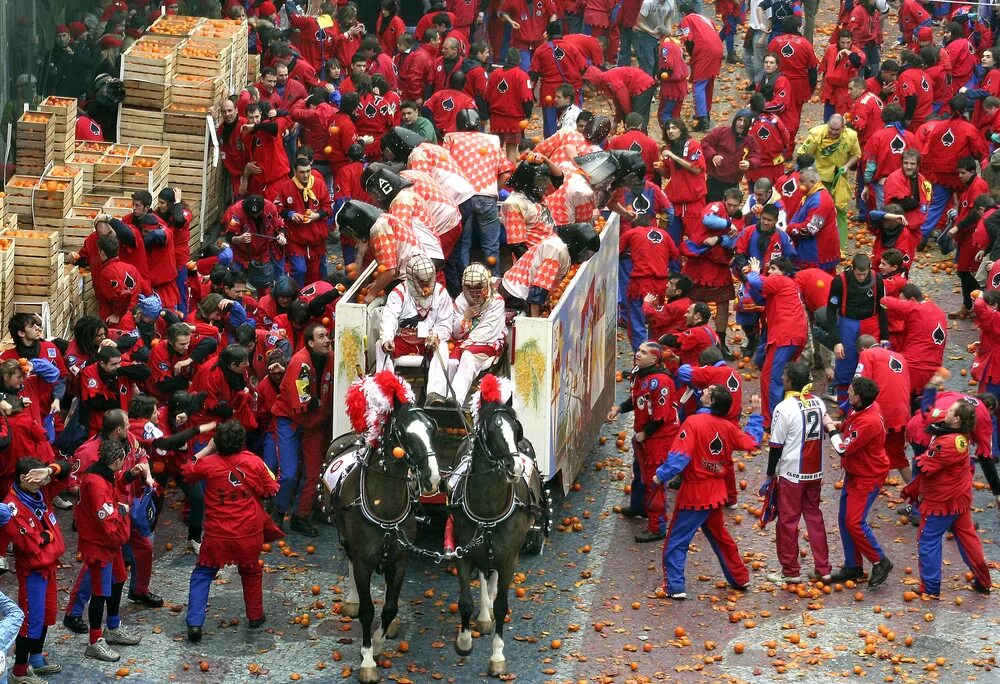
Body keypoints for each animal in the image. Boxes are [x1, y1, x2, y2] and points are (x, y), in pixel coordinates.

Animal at [320, 374, 442, 684]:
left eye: (431, 428)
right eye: (403, 432)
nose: (433, 478)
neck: (384, 501)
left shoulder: (400, 559)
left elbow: (389, 607)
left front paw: (378, 641)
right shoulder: (364, 559)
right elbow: (367, 609)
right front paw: (367, 660)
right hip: (344, 534)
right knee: (349, 559)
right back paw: (351, 600)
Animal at [450, 376, 552, 676]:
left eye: (515, 428)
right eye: (489, 430)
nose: (513, 467)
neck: (488, 508)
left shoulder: (509, 559)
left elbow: (501, 607)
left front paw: (497, 657)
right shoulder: (463, 552)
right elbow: (465, 602)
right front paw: (464, 641)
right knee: (485, 576)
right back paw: (482, 617)